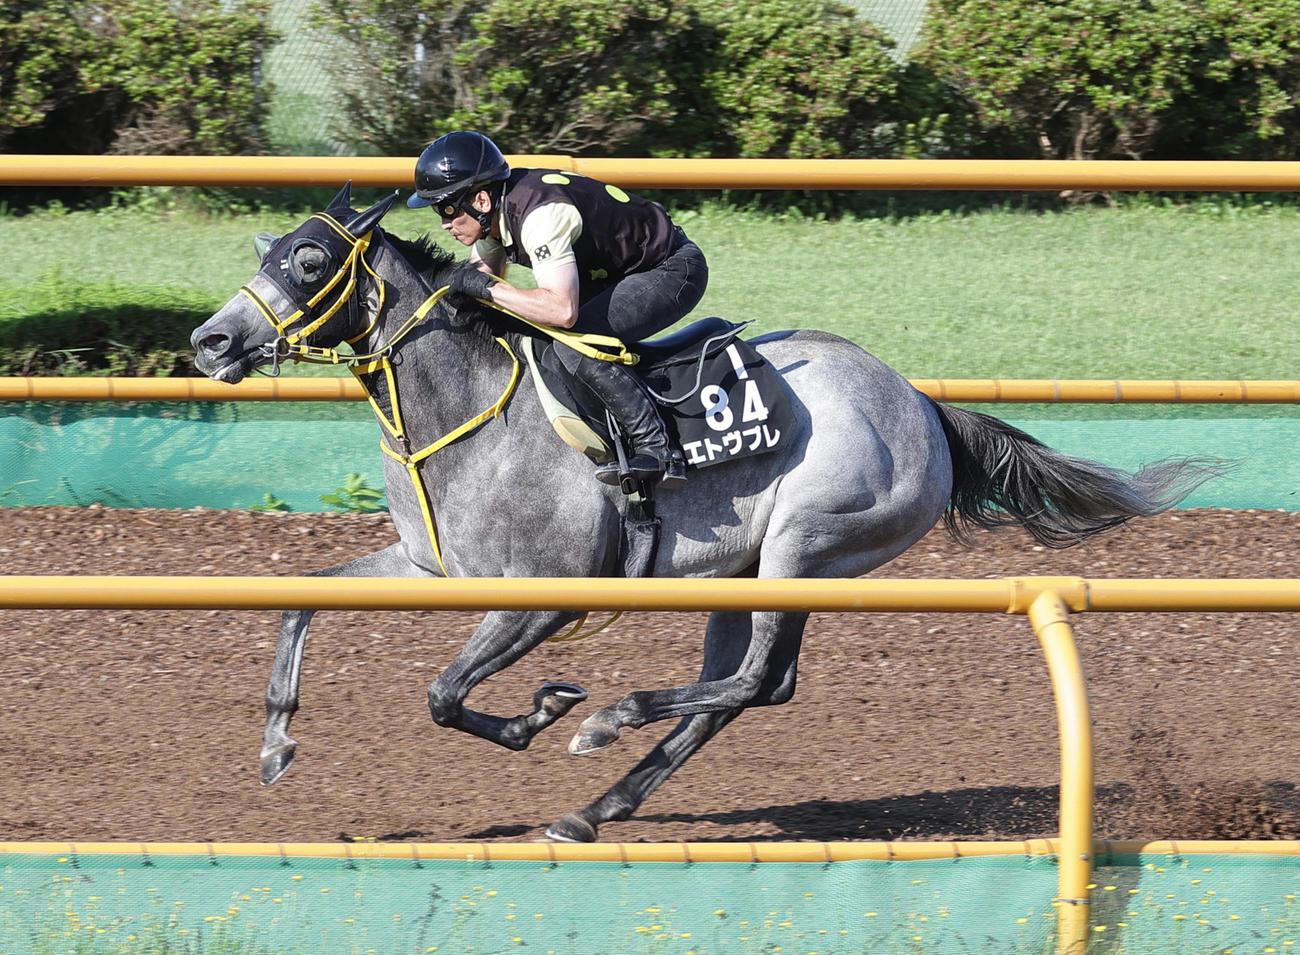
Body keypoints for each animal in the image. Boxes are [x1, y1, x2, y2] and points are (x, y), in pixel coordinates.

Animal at [190, 184, 1217, 842]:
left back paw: (609, 724)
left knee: (758, 679)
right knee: (742, 688)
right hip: (747, 565)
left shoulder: (545, 597)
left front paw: (546, 711)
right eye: (268, 252)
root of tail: (921, 401)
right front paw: (277, 740)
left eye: (310, 259)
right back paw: (596, 805)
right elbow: (305, 595)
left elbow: (444, 694)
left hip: (806, 548)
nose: (210, 341)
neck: (468, 407)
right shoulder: (431, 566)